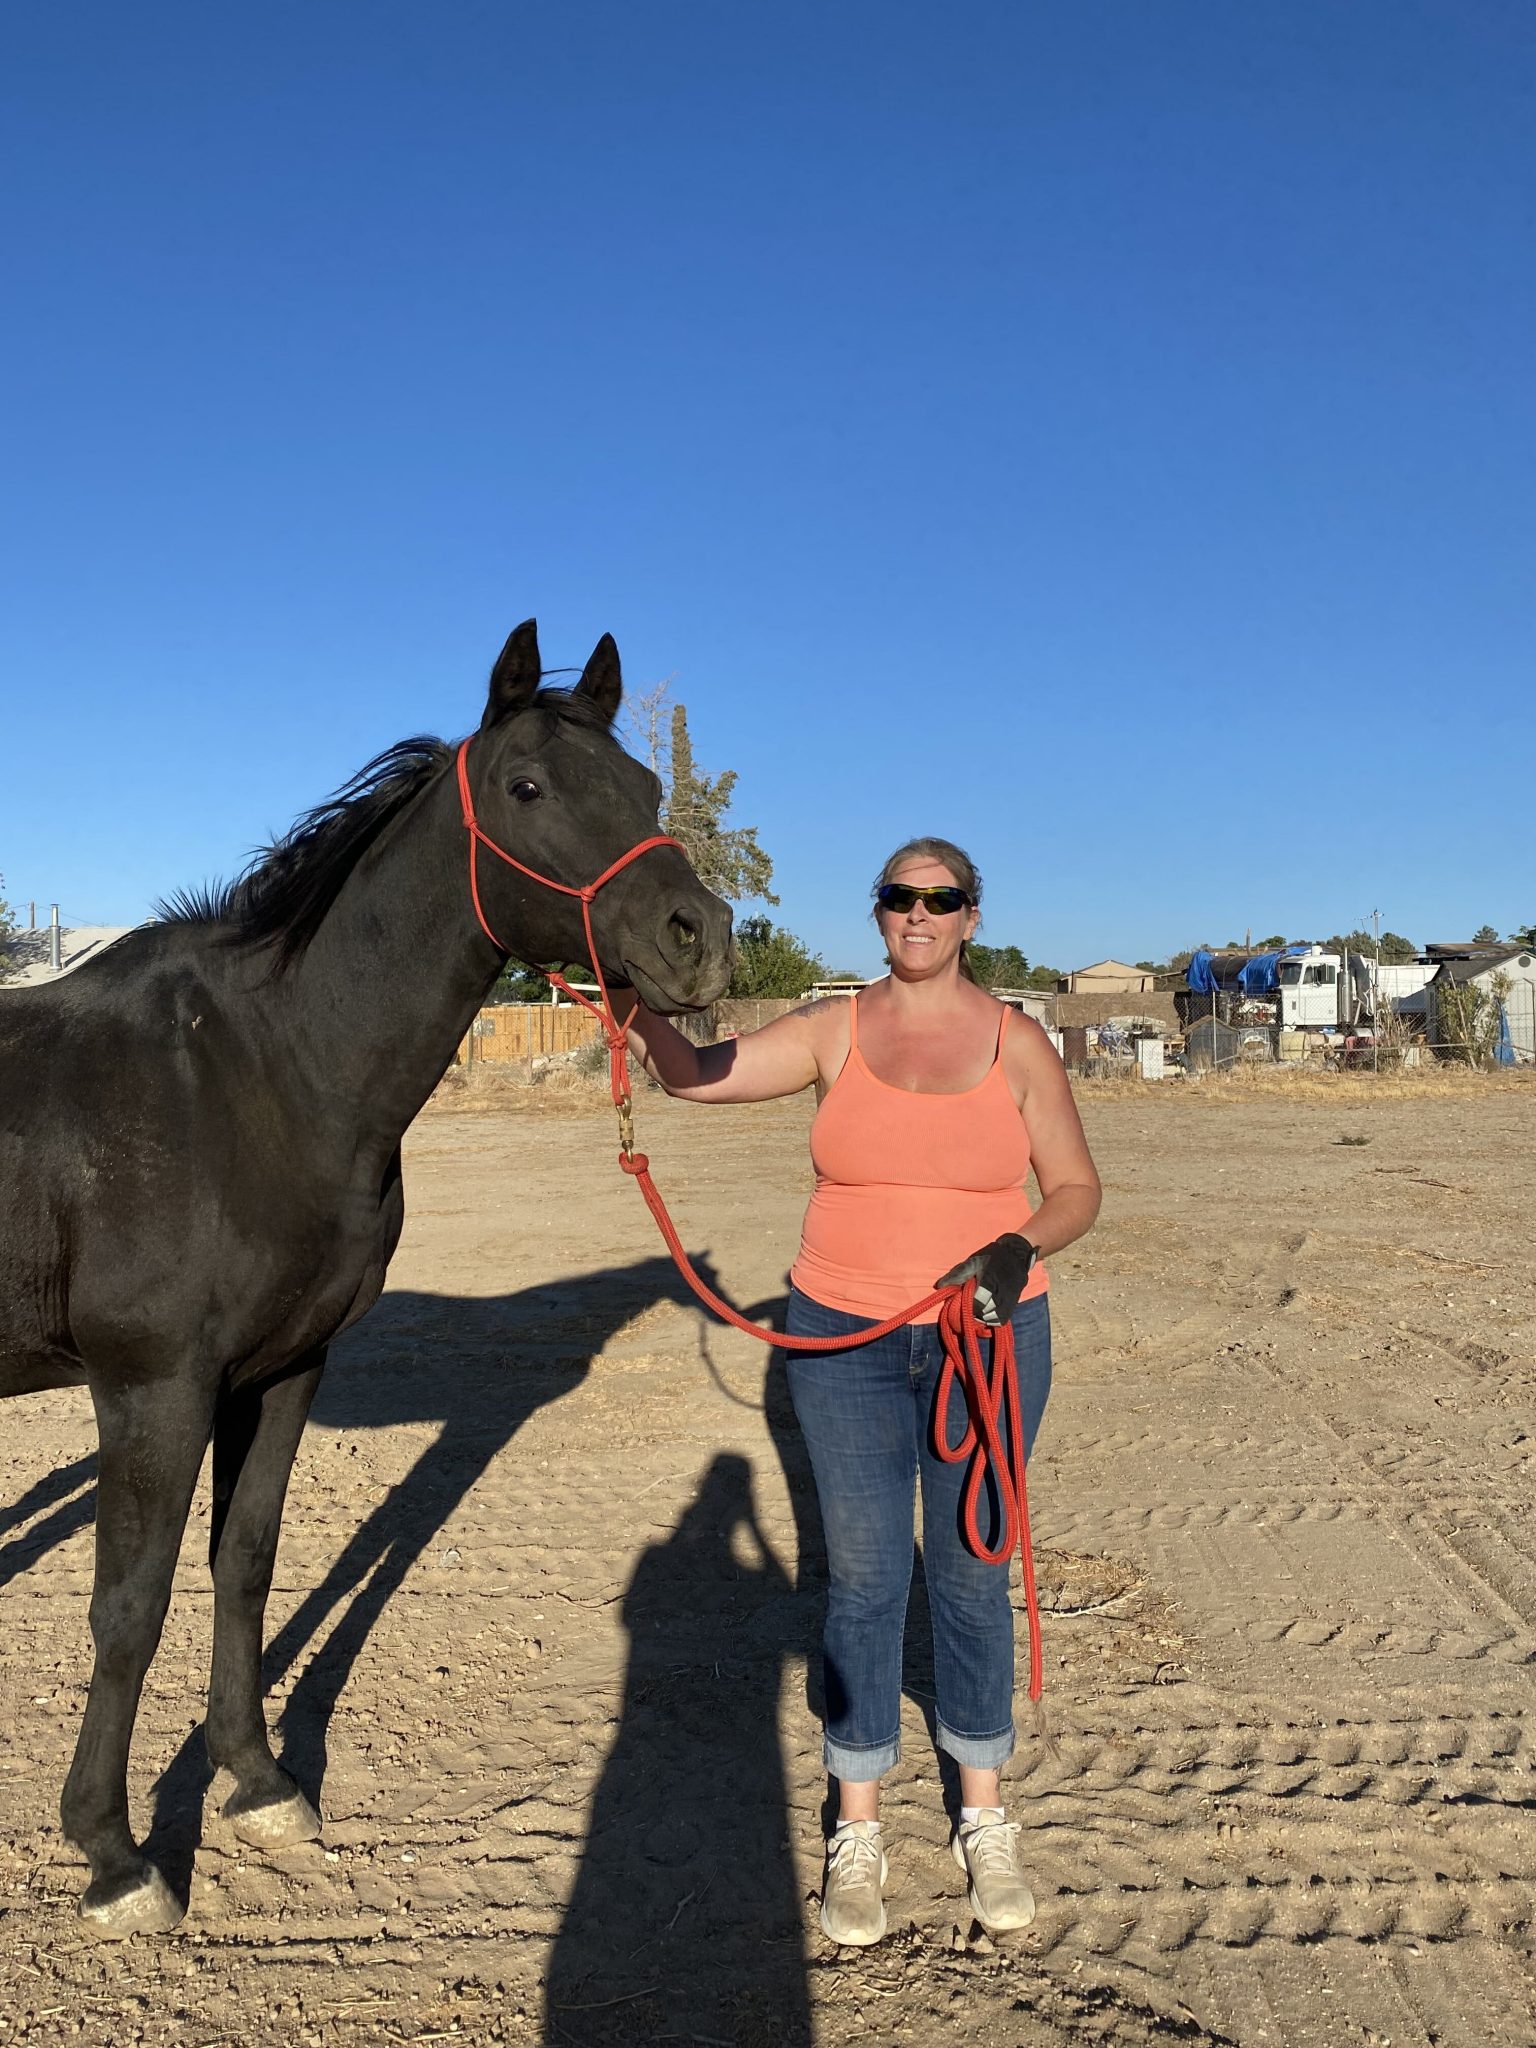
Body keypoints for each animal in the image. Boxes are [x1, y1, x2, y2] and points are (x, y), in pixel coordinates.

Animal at [0, 620, 734, 1936]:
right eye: (527, 786)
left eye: (649, 788)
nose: (699, 937)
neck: (257, 1074)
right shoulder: (154, 1390)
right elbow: (129, 1607)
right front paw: (115, 1854)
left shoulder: (285, 1368)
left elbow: (243, 1566)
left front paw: (256, 1780)